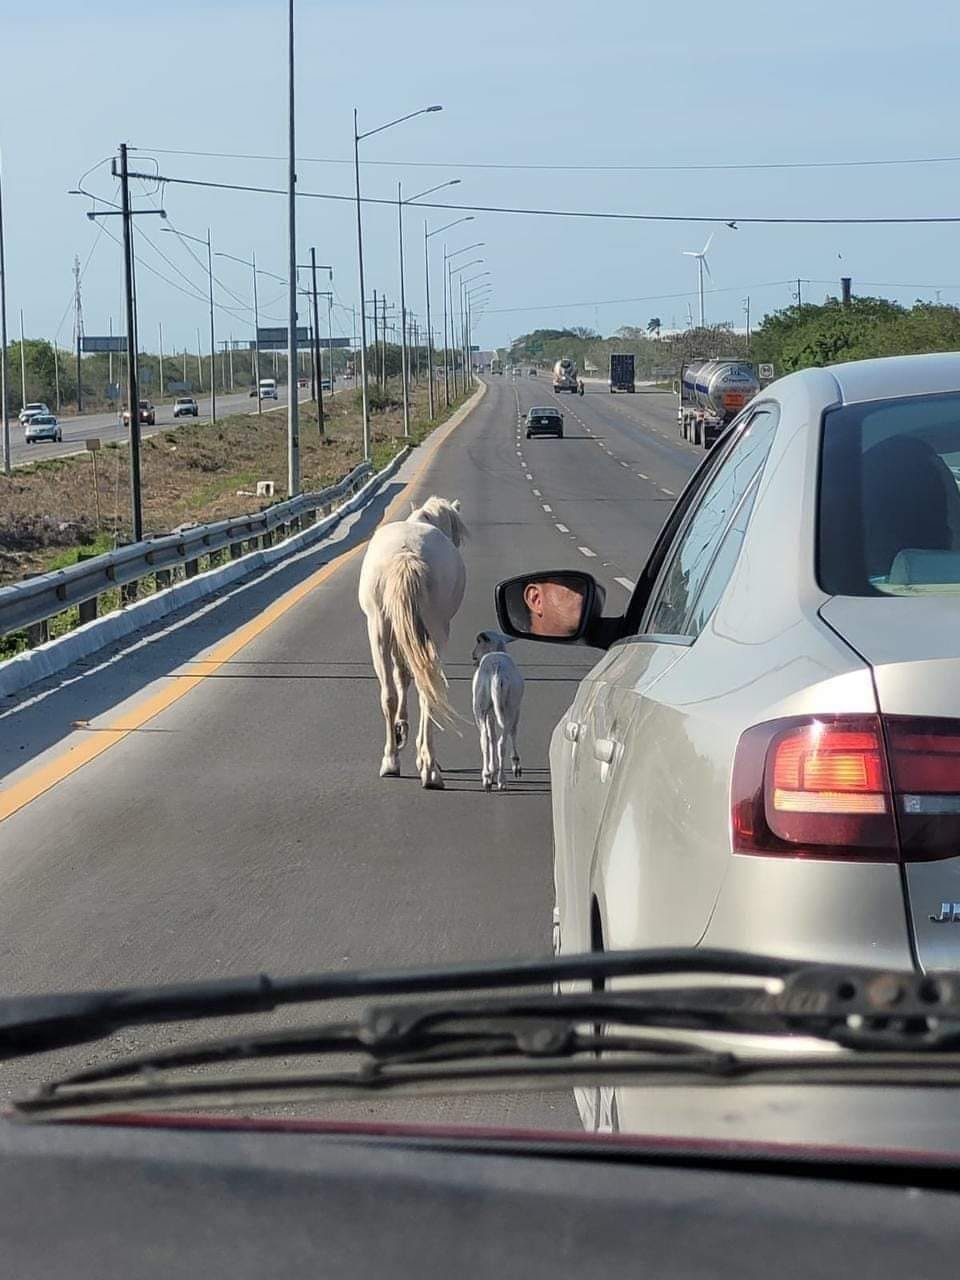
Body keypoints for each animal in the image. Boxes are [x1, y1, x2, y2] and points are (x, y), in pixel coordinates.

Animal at [358, 491, 468, 783]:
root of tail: (406, 555)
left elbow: (401, 677)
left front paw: (400, 730)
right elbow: (409, 678)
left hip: (379, 629)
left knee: (388, 693)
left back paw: (391, 760)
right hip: (436, 631)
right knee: (427, 689)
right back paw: (429, 767)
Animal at [473, 629, 527, 788]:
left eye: (479, 642)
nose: (473, 656)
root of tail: (496, 669)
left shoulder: (490, 711)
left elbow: (492, 735)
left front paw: (492, 769)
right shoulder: (516, 708)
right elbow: (513, 732)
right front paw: (516, 766)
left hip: (480, 706)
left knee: (484, 739)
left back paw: (487, 778)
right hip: (509, 707)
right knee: (502, 742)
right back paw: (502, 780)